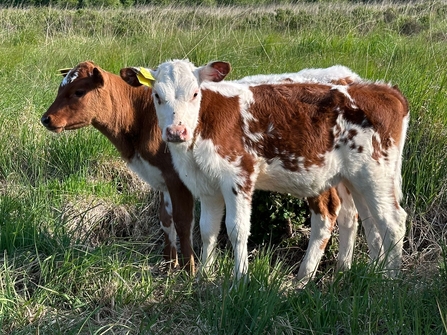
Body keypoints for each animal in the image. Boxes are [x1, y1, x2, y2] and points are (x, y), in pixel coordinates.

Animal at [40, 61, 196, 274]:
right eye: (59, 89)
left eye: (79, 92)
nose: (46, 118)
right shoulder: (162, 178)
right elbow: (166, 220)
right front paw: (169, 265)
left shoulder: (178, 179)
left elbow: (183, 222)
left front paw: (190, 273)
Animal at [121, 59, 410, 284]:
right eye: (157, 96)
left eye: (194, 93)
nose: (175, 131)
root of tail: (384, 90)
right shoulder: (207, 185)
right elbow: (207, 230)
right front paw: (204, 276)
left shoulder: (238, 177)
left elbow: (236, 229)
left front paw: (240, 279)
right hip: (355, 179)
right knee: (368, 221)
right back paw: (364, 274)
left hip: (376, 174)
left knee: (392, 223)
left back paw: (388, 281)